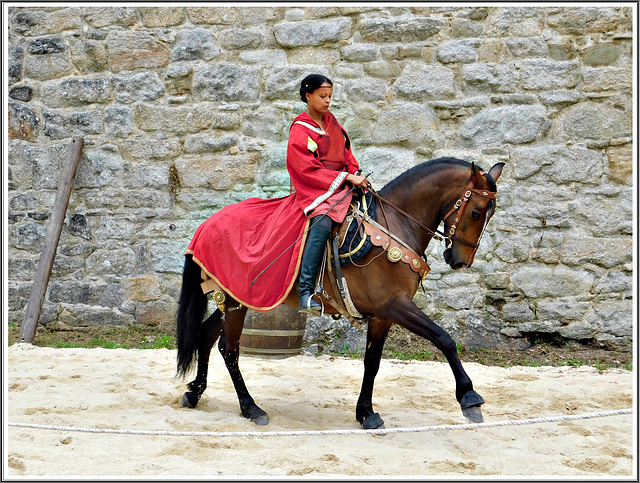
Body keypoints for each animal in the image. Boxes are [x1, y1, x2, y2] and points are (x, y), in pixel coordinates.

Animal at [176, 159, 504, 432]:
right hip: (236, 302)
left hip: (233, 298)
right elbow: (443, 338)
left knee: (206, 335)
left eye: (490, 215)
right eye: (476, 212)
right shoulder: (396, 306)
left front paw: (366, 412)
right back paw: (250, 408)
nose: (460, 261)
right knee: (229, 348)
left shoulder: (383, 316)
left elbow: (372, 362)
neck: (394, 226)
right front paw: (468, 396)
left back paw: (195, 392)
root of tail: (207, 224)